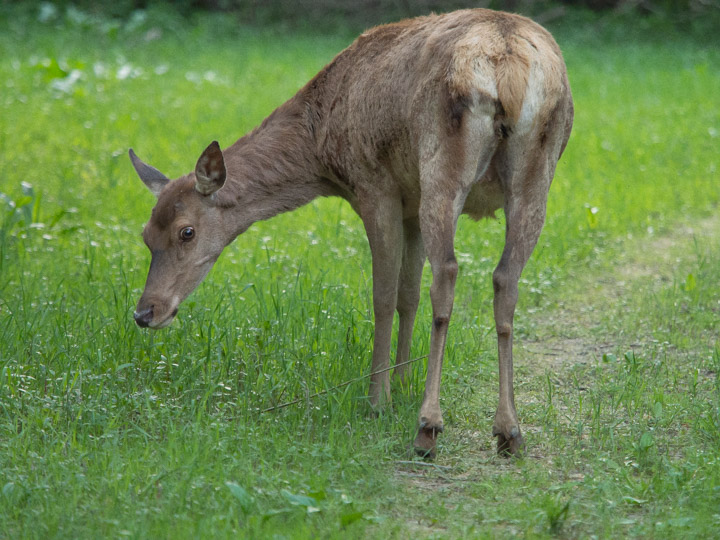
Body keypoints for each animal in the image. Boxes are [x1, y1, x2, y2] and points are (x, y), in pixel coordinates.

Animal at [128, 8, 572, 458]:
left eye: (187, 231)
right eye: (145, 234)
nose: (145, 313)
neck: (322, 148)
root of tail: (510, 66)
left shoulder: (375, 186)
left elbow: (383, 295)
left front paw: (379, 398)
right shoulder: (409, 204)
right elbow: (408, 296)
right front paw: (402, 383)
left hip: (442, 167)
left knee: (447, 272)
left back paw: (429, 426)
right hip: (537, 177)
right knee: (505, 279)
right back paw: (509, 430)